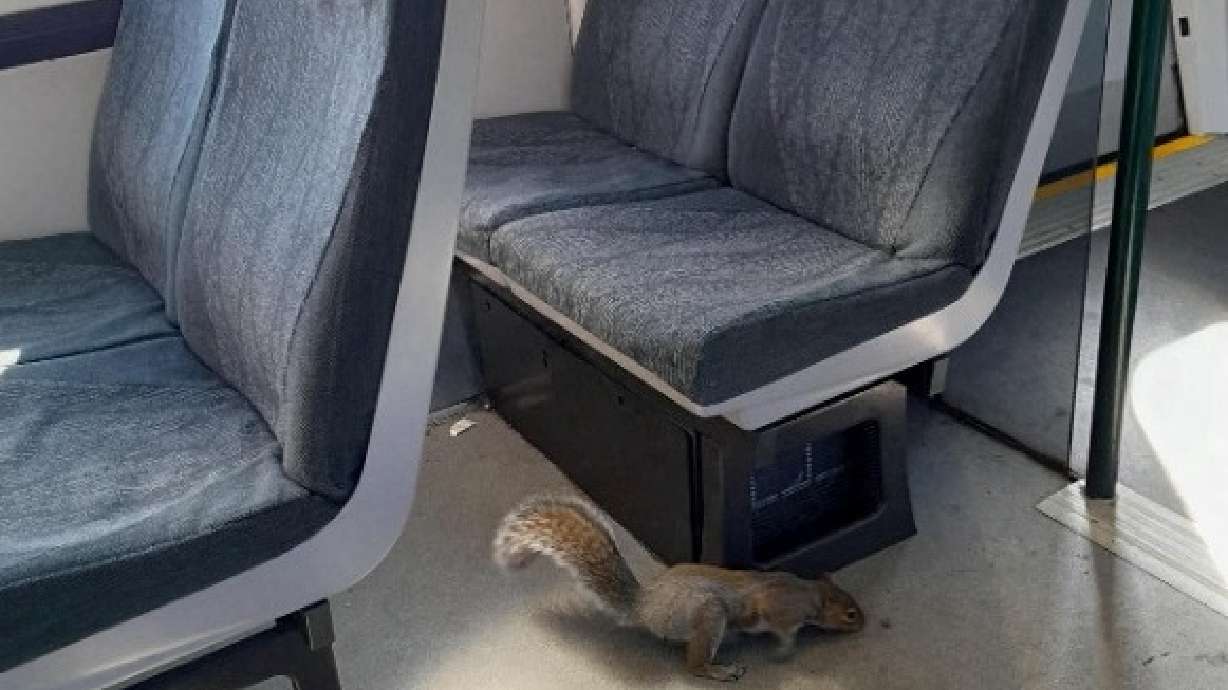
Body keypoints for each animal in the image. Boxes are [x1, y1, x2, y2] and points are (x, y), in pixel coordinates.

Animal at [493, 495, 865, 682]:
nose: (862, 624)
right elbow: (783, 630)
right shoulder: (782, 609)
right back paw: (718, 669)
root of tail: (644, 607)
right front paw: (784, 650)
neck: (811, 594)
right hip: (708, 613)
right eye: (850, 614)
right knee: (693, 664)